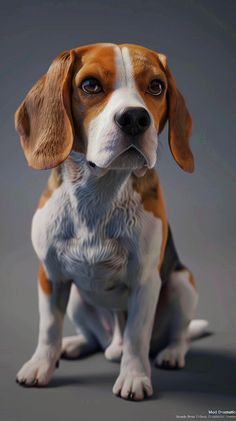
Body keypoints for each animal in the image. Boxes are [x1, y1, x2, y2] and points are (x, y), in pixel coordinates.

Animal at [14, 42, 207, 400]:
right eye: (90, 85)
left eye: (156, 86)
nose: (135, 118)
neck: (99, 191)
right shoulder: (50, 274)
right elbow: (48, 328)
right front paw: (40, 366)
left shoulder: (146, 281)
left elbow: (136, 337)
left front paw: (134, 377)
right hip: (77, 299)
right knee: (96, 337)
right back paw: (75, 345)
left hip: (180, 282)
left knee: (177, 335)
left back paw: (171, 353)